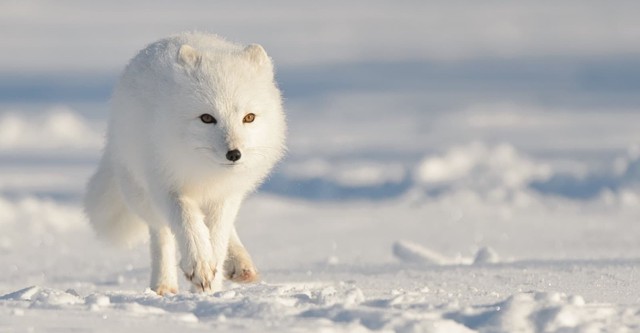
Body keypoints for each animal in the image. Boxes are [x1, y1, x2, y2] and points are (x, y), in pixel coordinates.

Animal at [84, 33, 286, 294]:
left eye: (249, 118)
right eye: (207, 118)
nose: (234, 154)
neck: (204, 172)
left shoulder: (226, 195)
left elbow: (217, 237)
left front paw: (210, 288)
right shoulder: (166, 186)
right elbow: (187, 223)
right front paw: (199, 265)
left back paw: (239, 264)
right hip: (140, 193)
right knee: (161, 233)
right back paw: (163, 285)